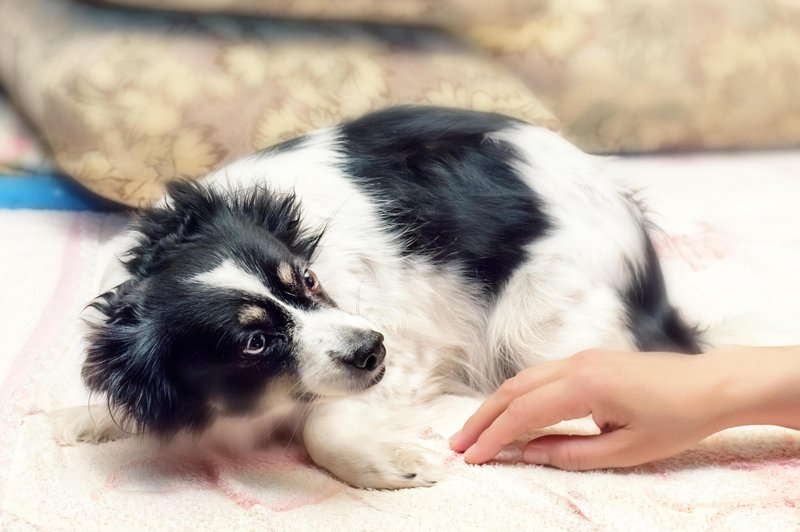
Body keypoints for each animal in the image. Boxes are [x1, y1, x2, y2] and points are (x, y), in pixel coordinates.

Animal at [65, 106, 696, 488]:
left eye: (307, 280)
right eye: (254, 343)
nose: (373, 348)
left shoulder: (407, 355)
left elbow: (323, 429)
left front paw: (389, 465)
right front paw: (89, 419)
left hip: (538, 325)